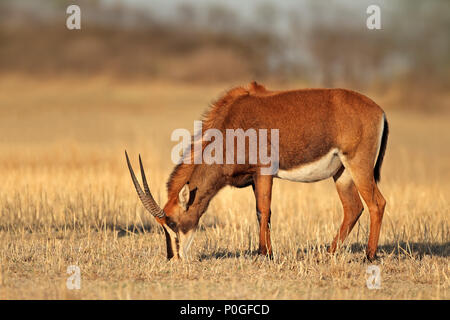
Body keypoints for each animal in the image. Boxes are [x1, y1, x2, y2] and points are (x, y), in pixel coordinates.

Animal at [125, 81, 388, 262]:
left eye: (171, 221)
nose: (173, 257)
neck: (232, 124)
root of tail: (379, 111)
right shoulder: (253, 178)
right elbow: (261, 213)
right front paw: (266, 251)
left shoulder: (264, 172)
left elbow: (264, 210)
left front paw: (264, 253)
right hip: (342, 174)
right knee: (353, 208)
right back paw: (328, 253)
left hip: (358, 165)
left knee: (376, 203)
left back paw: (369, 256)